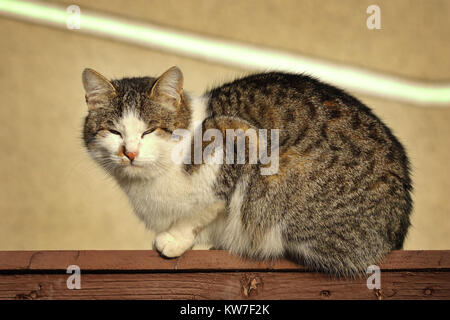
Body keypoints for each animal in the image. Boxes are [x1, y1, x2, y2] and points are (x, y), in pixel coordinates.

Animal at [82, 65, 414, 276]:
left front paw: (174, 239)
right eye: (114, 131)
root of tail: (396, 233)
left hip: (284, 176)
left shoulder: (243, 140)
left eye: (150, 130)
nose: (130, 152)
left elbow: (206, 208)